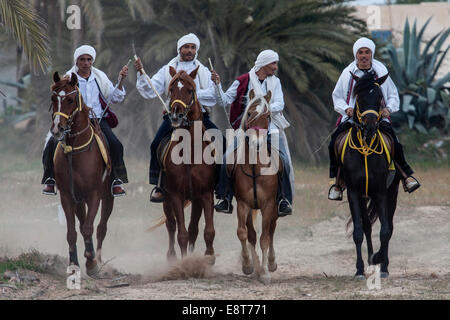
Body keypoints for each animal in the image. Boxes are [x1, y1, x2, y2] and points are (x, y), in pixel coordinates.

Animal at [50, 71, 114, 276]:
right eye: (53, 98)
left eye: (70, 99)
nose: (57, 128)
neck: (75, 150)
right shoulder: (67, 195)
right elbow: (72, 232)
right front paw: (74, 264)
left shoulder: (94, 194)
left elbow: (88, 228)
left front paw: (92, 263)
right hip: (78, 199)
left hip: (108, 196)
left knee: (101, 227)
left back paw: (98, 258)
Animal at [162, 66, 216, 264]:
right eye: (171, 89)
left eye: (190, 90)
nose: (176, 115)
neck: (190, 153)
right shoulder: (176, 195)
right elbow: (181, 234)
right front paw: (185, 262)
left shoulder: (205, 194)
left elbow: (208, 231)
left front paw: (209, 257)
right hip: (166, 197)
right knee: (171, 225)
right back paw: (171, 256)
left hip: (195, 200)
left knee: (193, 228)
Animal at [230, 89, 280, 284]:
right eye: (250, 113)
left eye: (268, 116)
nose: (257, 144)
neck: (255, 168)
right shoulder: (243, 204)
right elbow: (243, 233)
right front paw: (248, 265)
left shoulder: (269, 204)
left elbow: (265, 238)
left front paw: (265, 272)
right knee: (251, 234)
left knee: (271, 231)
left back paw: (271, 263)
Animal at [340, 71, 400, 278]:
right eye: (359, 97)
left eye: (380, 98)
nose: (370, 128)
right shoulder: (353, 192)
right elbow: (358, 231)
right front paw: (359, 268)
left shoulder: (381, 192)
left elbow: (385, 231)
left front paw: (380, 260)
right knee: (366, 226)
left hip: (392, 192)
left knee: (389, 225)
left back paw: (383, 265)